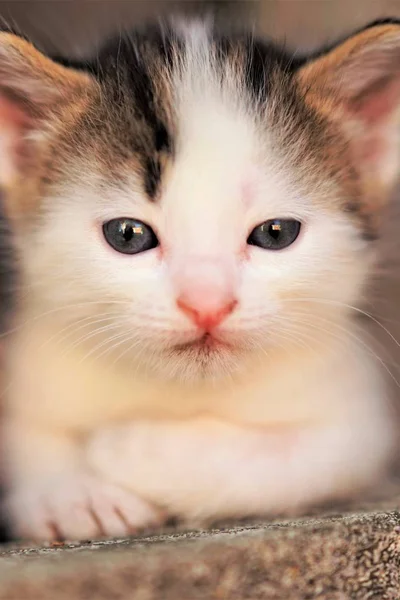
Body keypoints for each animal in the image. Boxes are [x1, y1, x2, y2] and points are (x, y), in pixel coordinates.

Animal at [0, 19, 400, 540]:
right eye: (127, 235)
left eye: (276, 233)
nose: (206, 303)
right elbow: (24, 433)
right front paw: (73, 495)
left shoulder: (358, 416)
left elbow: (300, 459)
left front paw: (127, 448)